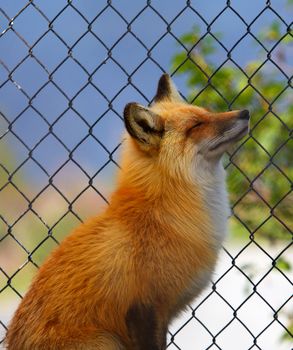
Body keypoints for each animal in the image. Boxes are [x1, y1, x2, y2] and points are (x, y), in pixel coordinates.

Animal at [5, 73, 249, 348]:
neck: (163, 214)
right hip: (106, 340)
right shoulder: (144, 310)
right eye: (196, 125)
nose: (245, 113)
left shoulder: (158, 315)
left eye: (207, 113)